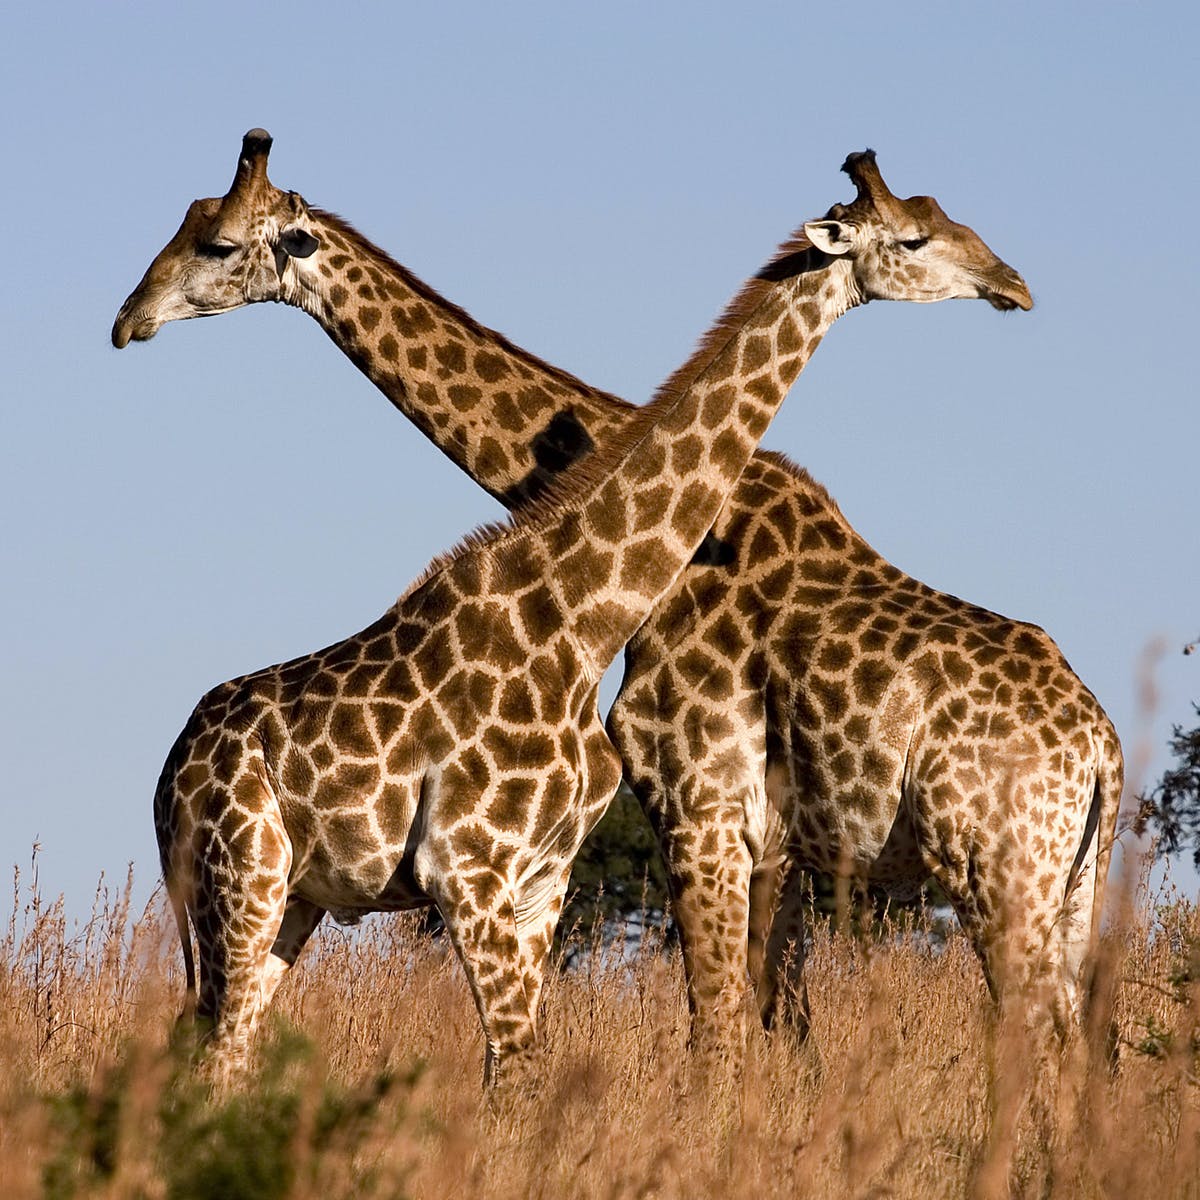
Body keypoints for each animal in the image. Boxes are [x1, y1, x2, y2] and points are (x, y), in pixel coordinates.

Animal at [112, 134, 1100, 1069]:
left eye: (216, 242)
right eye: (919, 232)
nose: (129, 319)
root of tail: (1102, 747)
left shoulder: (688, 817)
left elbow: (724, 1035)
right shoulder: (707, 833)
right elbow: (743, 1035)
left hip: (1008, 871)